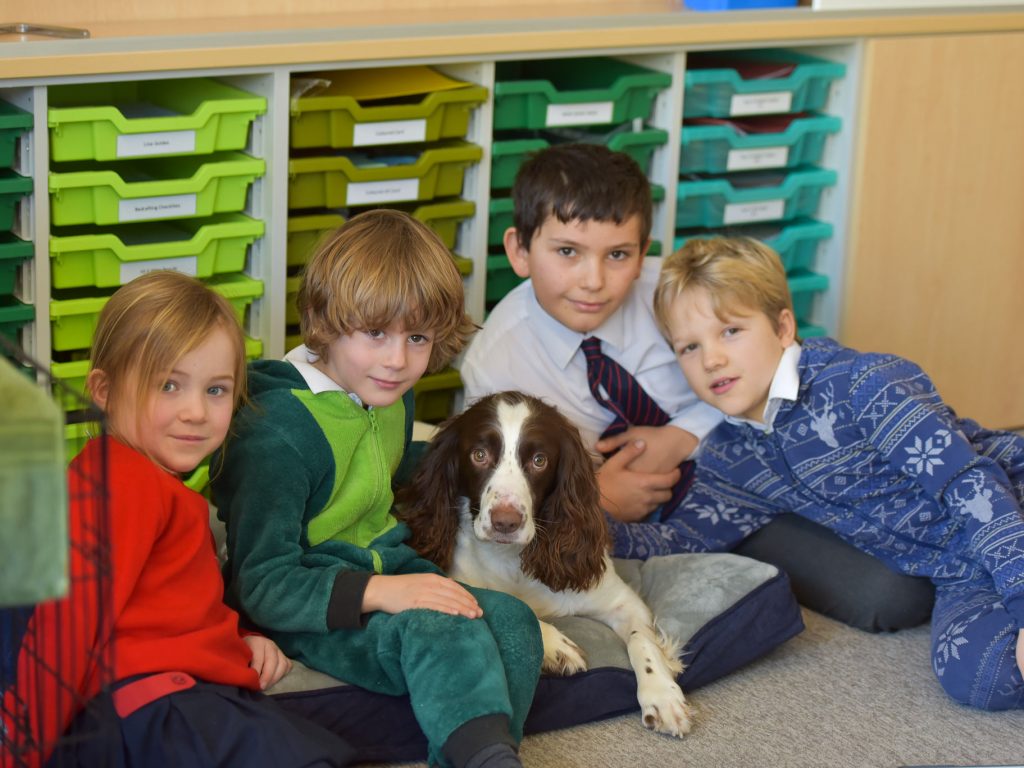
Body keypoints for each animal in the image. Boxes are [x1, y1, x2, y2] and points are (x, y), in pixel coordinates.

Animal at [395, 391, 692, 741]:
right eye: (479, 455)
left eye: (539, 460)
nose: (505, 522)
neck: (513, 560)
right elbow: (517, 608)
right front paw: (557, 647)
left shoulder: (623, 601)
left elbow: (642, 641)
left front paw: (663, 696)